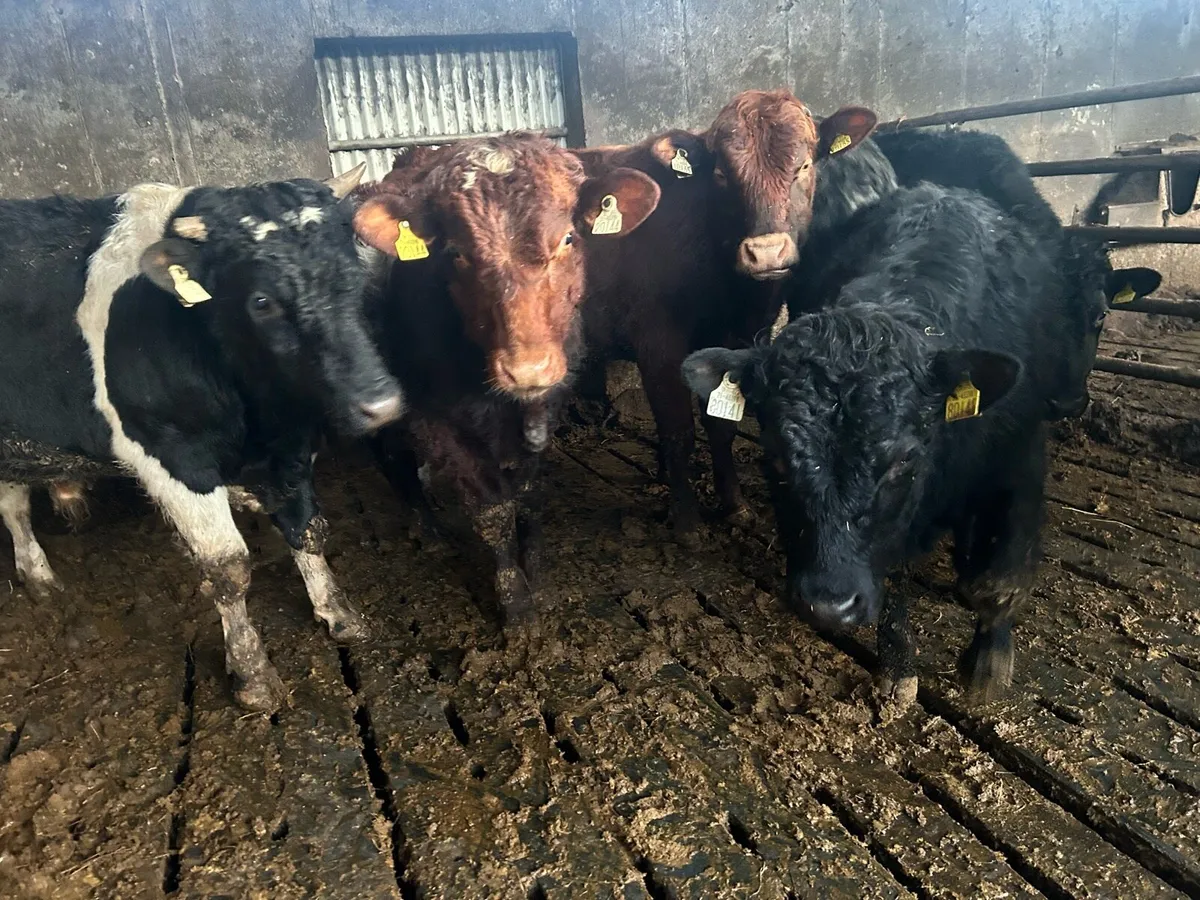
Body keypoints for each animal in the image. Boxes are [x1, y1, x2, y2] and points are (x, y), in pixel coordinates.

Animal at [0, 164, 403, 712]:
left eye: (355, 277)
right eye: (261, 301)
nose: (380, 403)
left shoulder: (291, 449)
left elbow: (308, 530)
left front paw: (338, 613)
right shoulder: (173, 456)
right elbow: (228, 568)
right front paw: (252, 674)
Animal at [352, 133, 660, 624]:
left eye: (568, 238)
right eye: (455, 253)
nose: (527, 368)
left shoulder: (546, 410)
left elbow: (530, 496)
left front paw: (537, 571)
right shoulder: (437, 422)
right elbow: (492, 511)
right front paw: (515, 604)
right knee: (392, 459)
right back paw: (428, 530)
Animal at [576, 91, 878, 544]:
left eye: (804, 166)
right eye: (721, 173)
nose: (766, 252)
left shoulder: (737, 338)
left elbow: (721, 425)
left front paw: (735, 505)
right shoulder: (658, 342)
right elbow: (679, 431)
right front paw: (686, 523)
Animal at [684, 183, 1073, 704]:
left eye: (903, 462)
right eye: (777, 460)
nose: (828, 604)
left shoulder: (1020, 462)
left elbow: (998, 581)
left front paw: (989, 663)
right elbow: (895, 578)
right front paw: (899, 668)